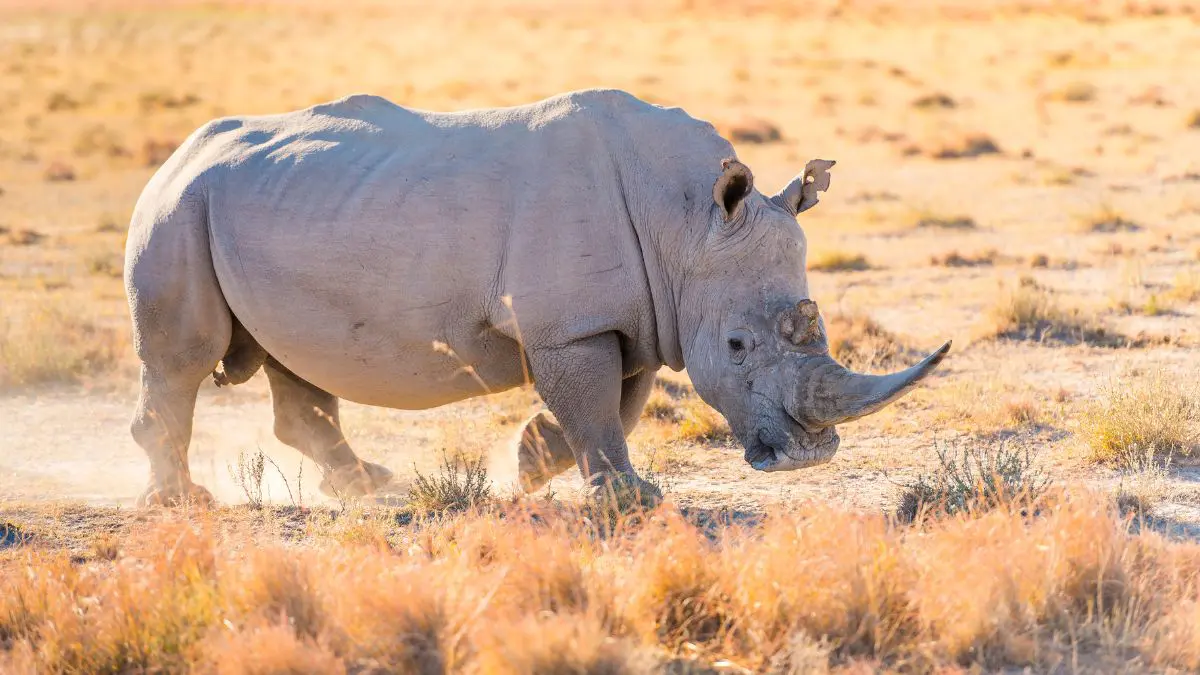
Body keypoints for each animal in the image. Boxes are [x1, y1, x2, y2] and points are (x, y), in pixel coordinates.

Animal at [124, 88, 949, 506]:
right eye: (737, 346)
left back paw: (368, 485)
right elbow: (596, 405)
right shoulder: (571, 324)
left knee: (294, 360)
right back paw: (182, 503)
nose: (808, 457)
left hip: (253, 209)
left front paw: (527, 466)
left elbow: (616, 403)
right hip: (178, 209)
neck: (687, 222)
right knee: (183, 359)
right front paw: (633, 500)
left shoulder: (630, 316)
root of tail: (177, 154)